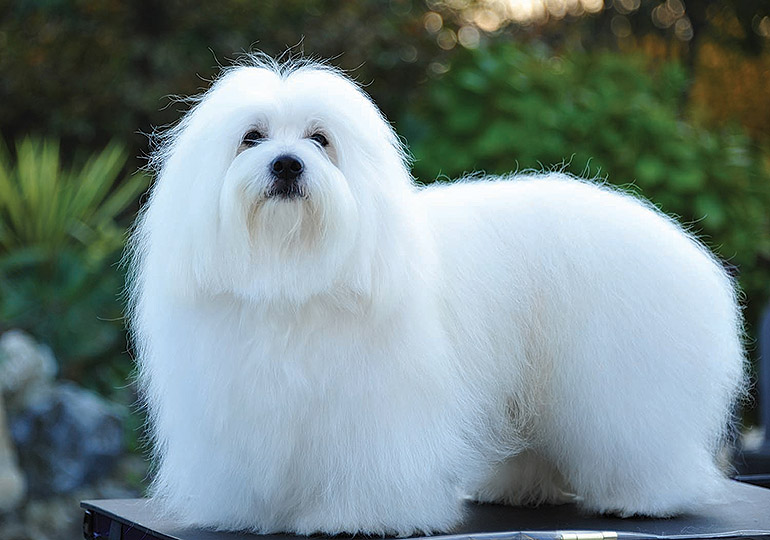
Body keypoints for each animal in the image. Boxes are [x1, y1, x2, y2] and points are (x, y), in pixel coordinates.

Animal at [129, 57, 748, 532]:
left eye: (320, 139)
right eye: (251, 138)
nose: (287, 164)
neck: (293, 279)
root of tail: (683, 248)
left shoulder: (377, 411)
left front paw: (360, 519)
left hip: (625, 383)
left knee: (642, 440)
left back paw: (642, 499)